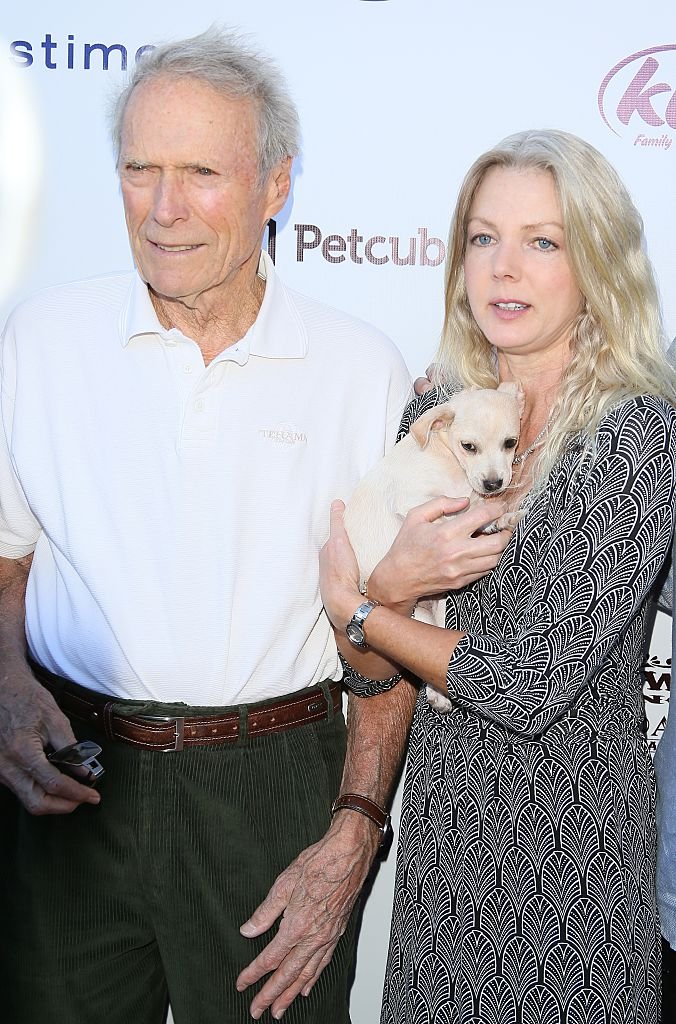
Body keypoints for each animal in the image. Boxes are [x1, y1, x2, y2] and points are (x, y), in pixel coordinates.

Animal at [344, 385, 522, 712]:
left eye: (510, 443)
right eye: (469, 446)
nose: (493, 484)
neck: (447, 456)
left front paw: (500, 518)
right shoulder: (414, 501)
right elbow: (459, 509)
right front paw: (485, 516)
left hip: (435, 611)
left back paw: (439, 694)